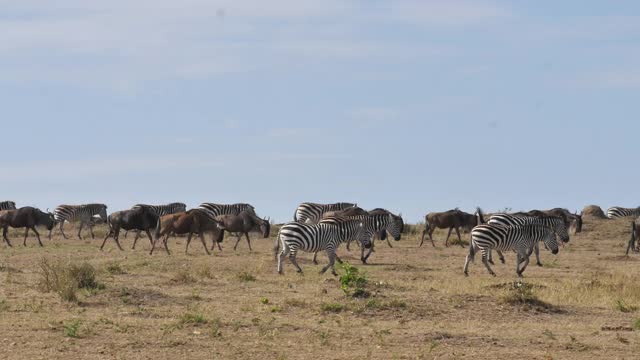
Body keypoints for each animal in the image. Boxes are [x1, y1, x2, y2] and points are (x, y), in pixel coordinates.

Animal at [276, 212, 404, 274]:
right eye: (397, 226)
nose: (398, 238)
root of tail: (282, 227)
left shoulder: (331, 246)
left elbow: (332, 259)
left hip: (287, 244)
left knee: (281, 255)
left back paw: (280, 271)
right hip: (294, 243)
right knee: (291, 257)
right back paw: (300, 269)